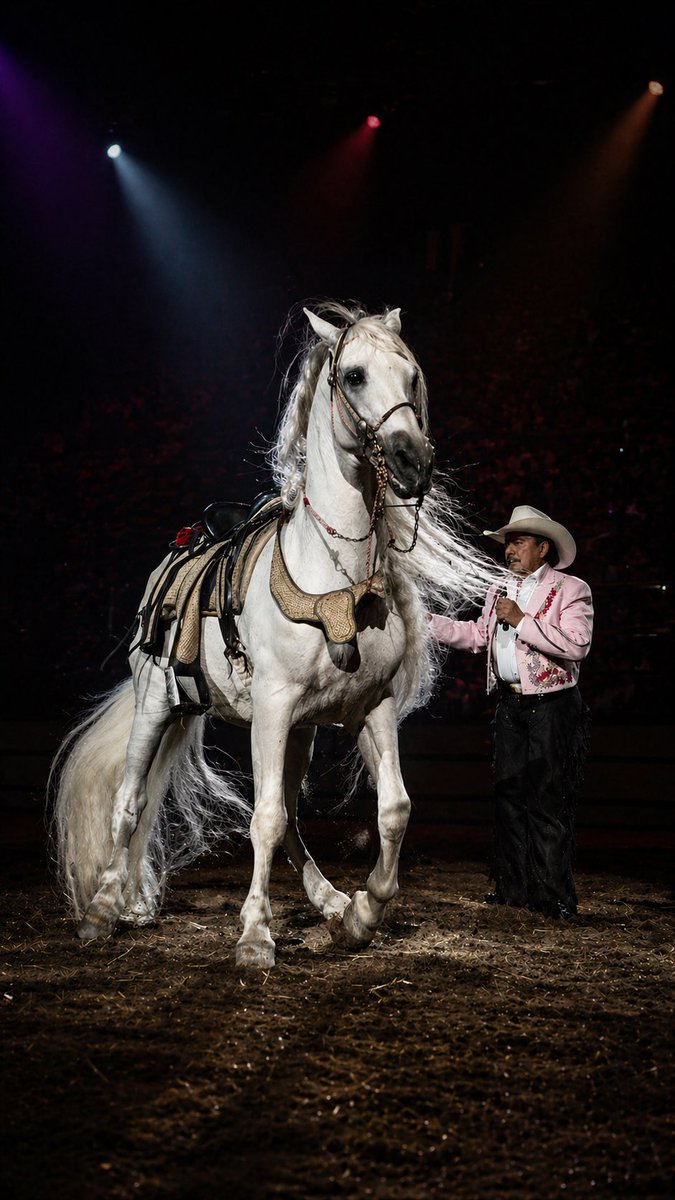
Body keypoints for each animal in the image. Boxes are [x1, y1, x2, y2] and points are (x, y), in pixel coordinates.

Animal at [50, 301, 504, 968]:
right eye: (354, 376)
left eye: (411, 376)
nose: (413, 462)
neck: (334, 575)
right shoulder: (271, 706)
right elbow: (260, 819)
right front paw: (255, 937)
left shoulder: (370, 707)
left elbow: (392, 808)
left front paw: (364, 913)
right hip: (157, 704)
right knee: (131, 803)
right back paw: (105, 909)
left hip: (294, 732)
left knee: (288, 817)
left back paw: (331, 901)